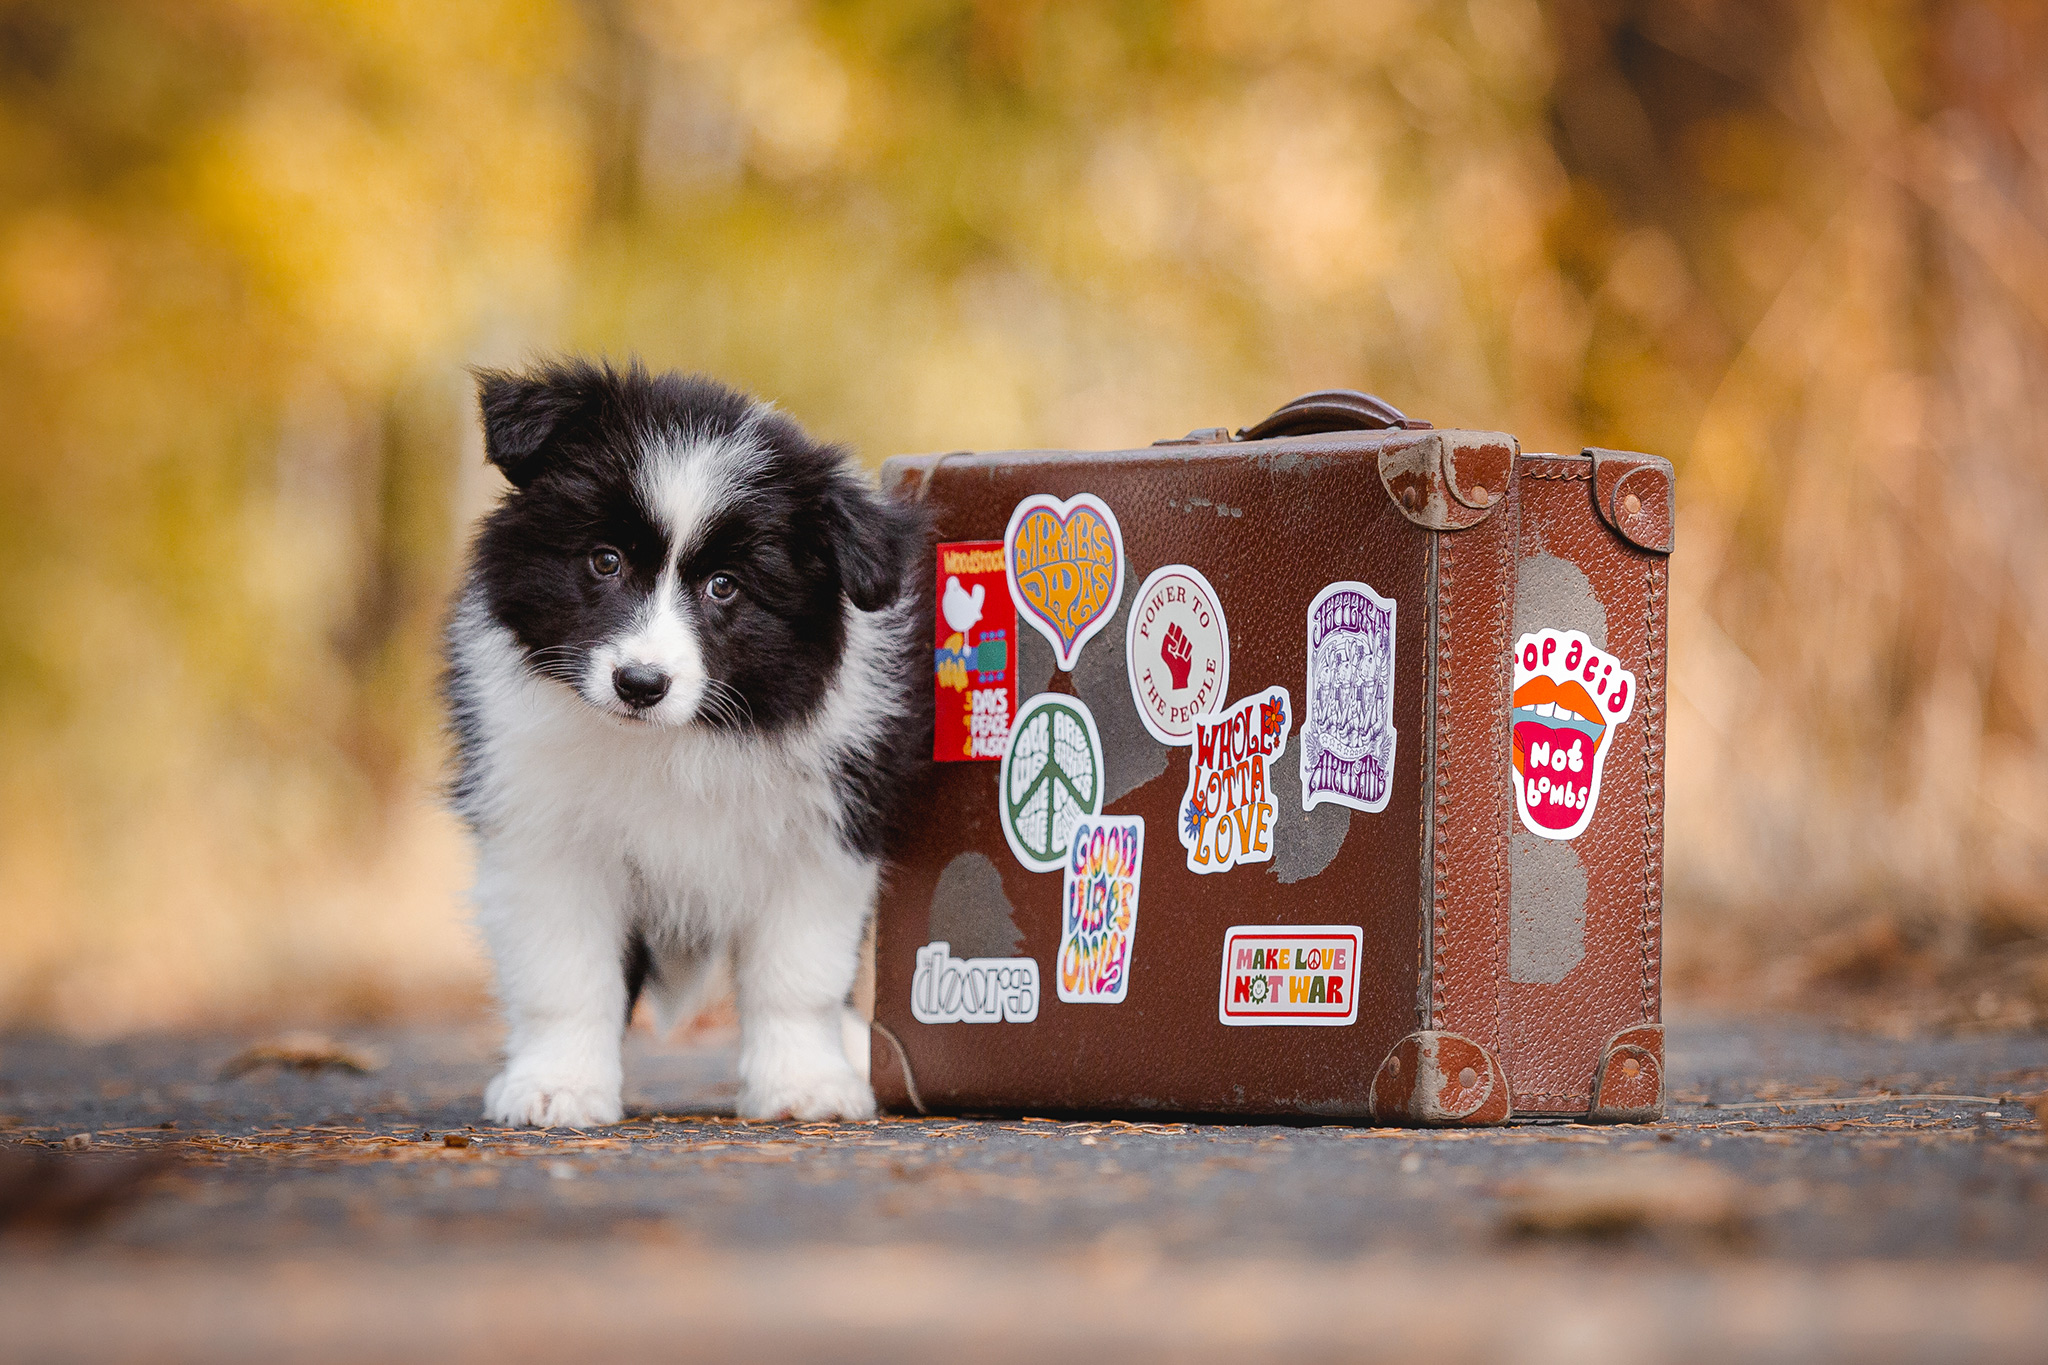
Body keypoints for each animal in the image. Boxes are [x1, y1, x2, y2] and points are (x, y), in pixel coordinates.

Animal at [450, 358, 929, 1129]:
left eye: (724, 586)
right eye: (605, 560)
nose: (640, 683)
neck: (674, 741)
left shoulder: (821, 834)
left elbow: (797, 975)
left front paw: (804, 1085)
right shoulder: (544, 836)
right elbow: (565, 974)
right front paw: (558, 1085)